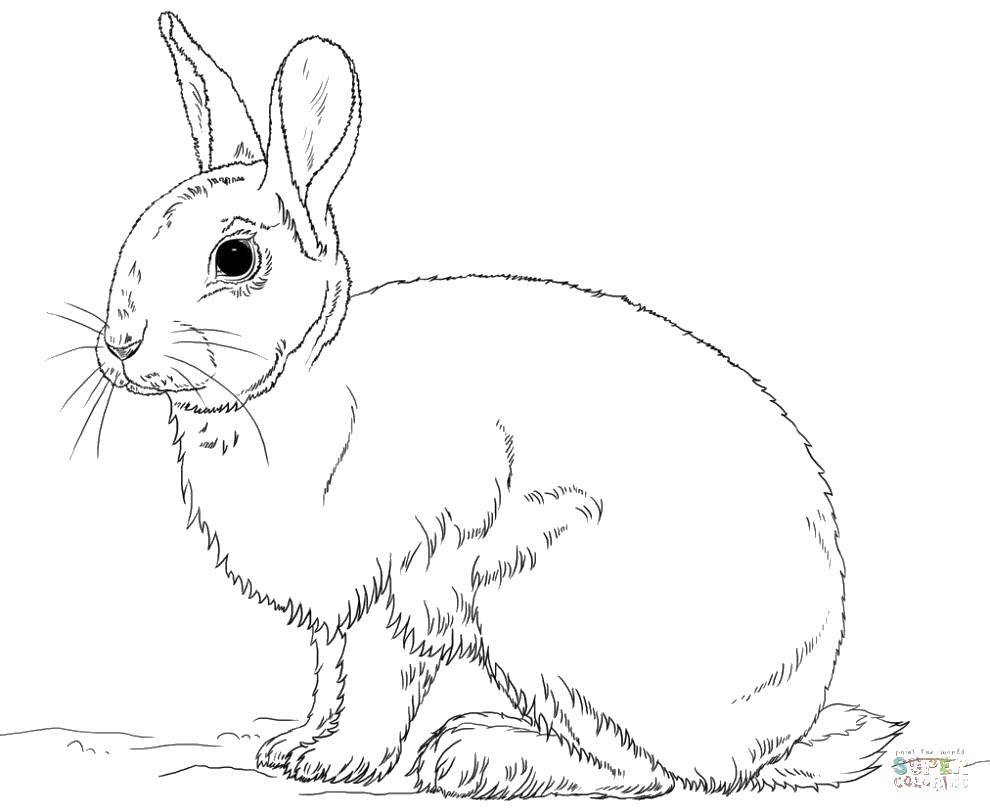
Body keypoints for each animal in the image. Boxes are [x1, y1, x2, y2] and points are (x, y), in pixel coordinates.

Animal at [90, 12, 905, 798]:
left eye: (235, 258)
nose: (118, 345)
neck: (300, 381)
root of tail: (774, 737)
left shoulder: (405, 581)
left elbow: (377, 686)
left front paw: (339, 764)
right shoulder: (336, 611)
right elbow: (330, 679)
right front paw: (292, 747)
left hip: (547, 608)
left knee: (645, 771)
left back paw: (479, 758)